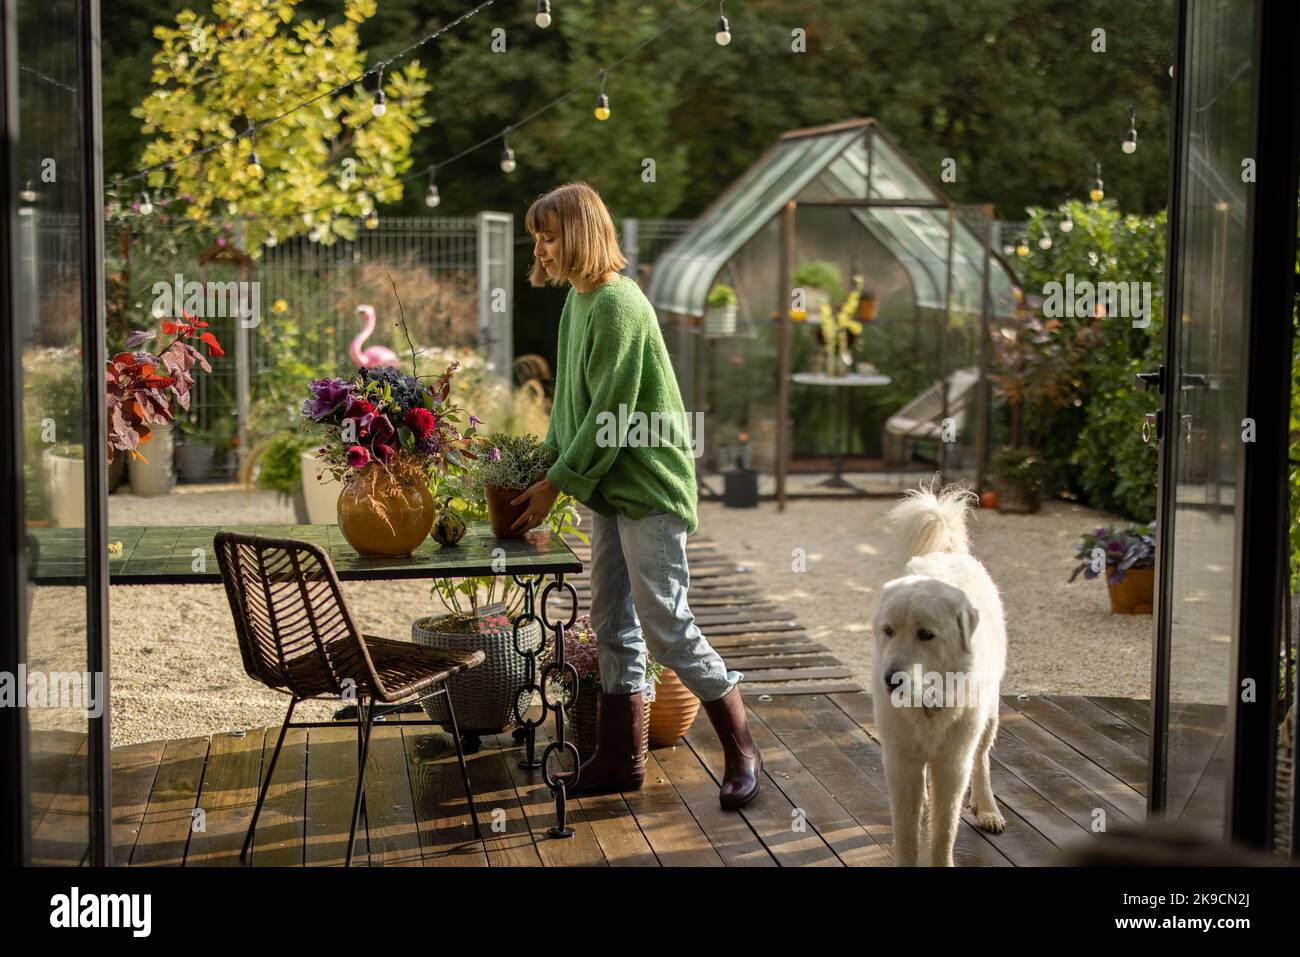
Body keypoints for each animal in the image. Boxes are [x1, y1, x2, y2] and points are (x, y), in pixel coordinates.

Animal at [873, 481, 1003, 863]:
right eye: (888, 631)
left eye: (925, 634)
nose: (891, 679)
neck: (928, 703)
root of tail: (946, 551)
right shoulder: (900, 761)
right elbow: (905, 832)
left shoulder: (952, 763)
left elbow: (944, 831)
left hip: (989, 714)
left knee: (982, 759)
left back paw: (987, 808)